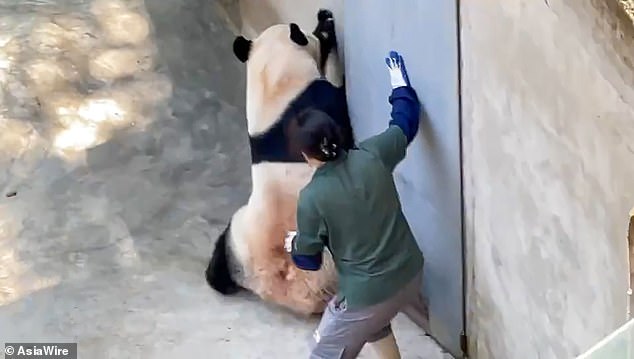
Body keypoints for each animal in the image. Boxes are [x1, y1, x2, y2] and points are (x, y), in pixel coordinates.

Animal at [206, 9, 356, 316]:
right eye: (315, 37)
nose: (324, 20)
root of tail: (287, 287)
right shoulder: (315, 98)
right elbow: (337, 102)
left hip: (240, 236)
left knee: (221, 259)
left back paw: (217, 277)